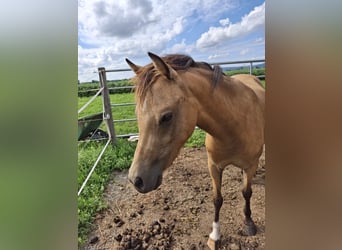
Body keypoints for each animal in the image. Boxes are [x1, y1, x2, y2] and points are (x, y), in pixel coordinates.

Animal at [125, 51, 264, 249]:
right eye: (137, 114)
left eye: (167, 116)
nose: (136, 180)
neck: (234, 125)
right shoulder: (214, 166)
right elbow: (217, 199)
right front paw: (214, 235)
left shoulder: (251, 165)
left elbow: (246, 193)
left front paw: (249, 223)